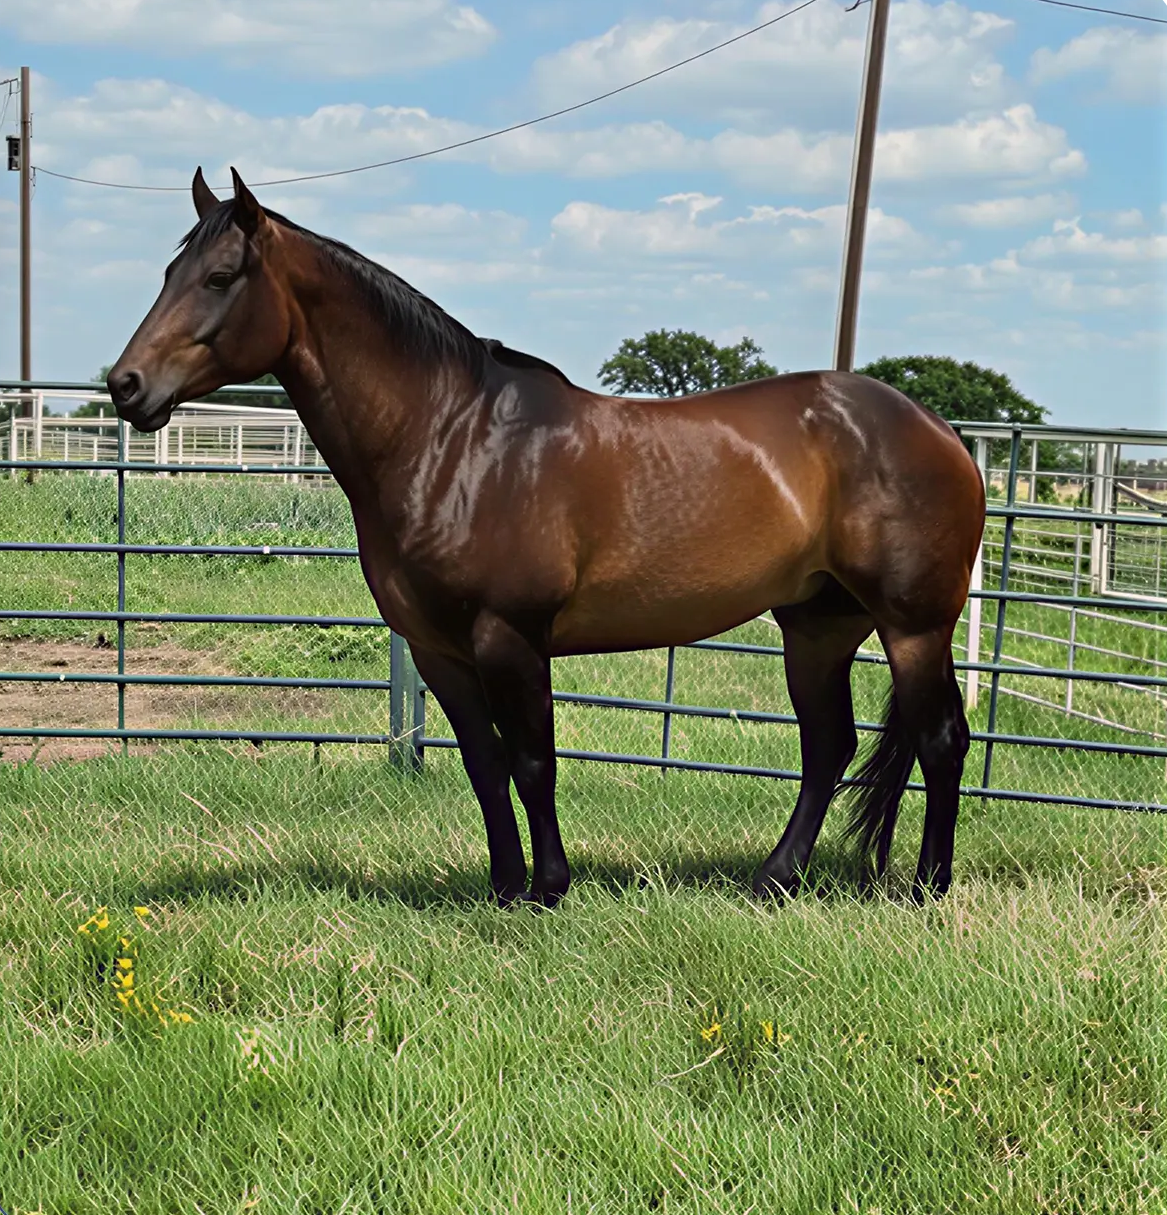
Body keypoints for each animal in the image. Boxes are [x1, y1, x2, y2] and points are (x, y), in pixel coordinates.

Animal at [107, 167, 986, 908]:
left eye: (219, 278)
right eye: (166, 275)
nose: (125, 386)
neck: (452, 439)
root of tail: (938, 429)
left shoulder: (510, 637)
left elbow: (534, 763)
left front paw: (547, 888)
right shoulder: (438, 650)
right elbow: (485, 765)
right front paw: (502, 887)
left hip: (912, 625)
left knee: (940, 739)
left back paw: (926, 887)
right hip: (818, 623)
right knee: (827, 746)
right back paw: (775, 879)